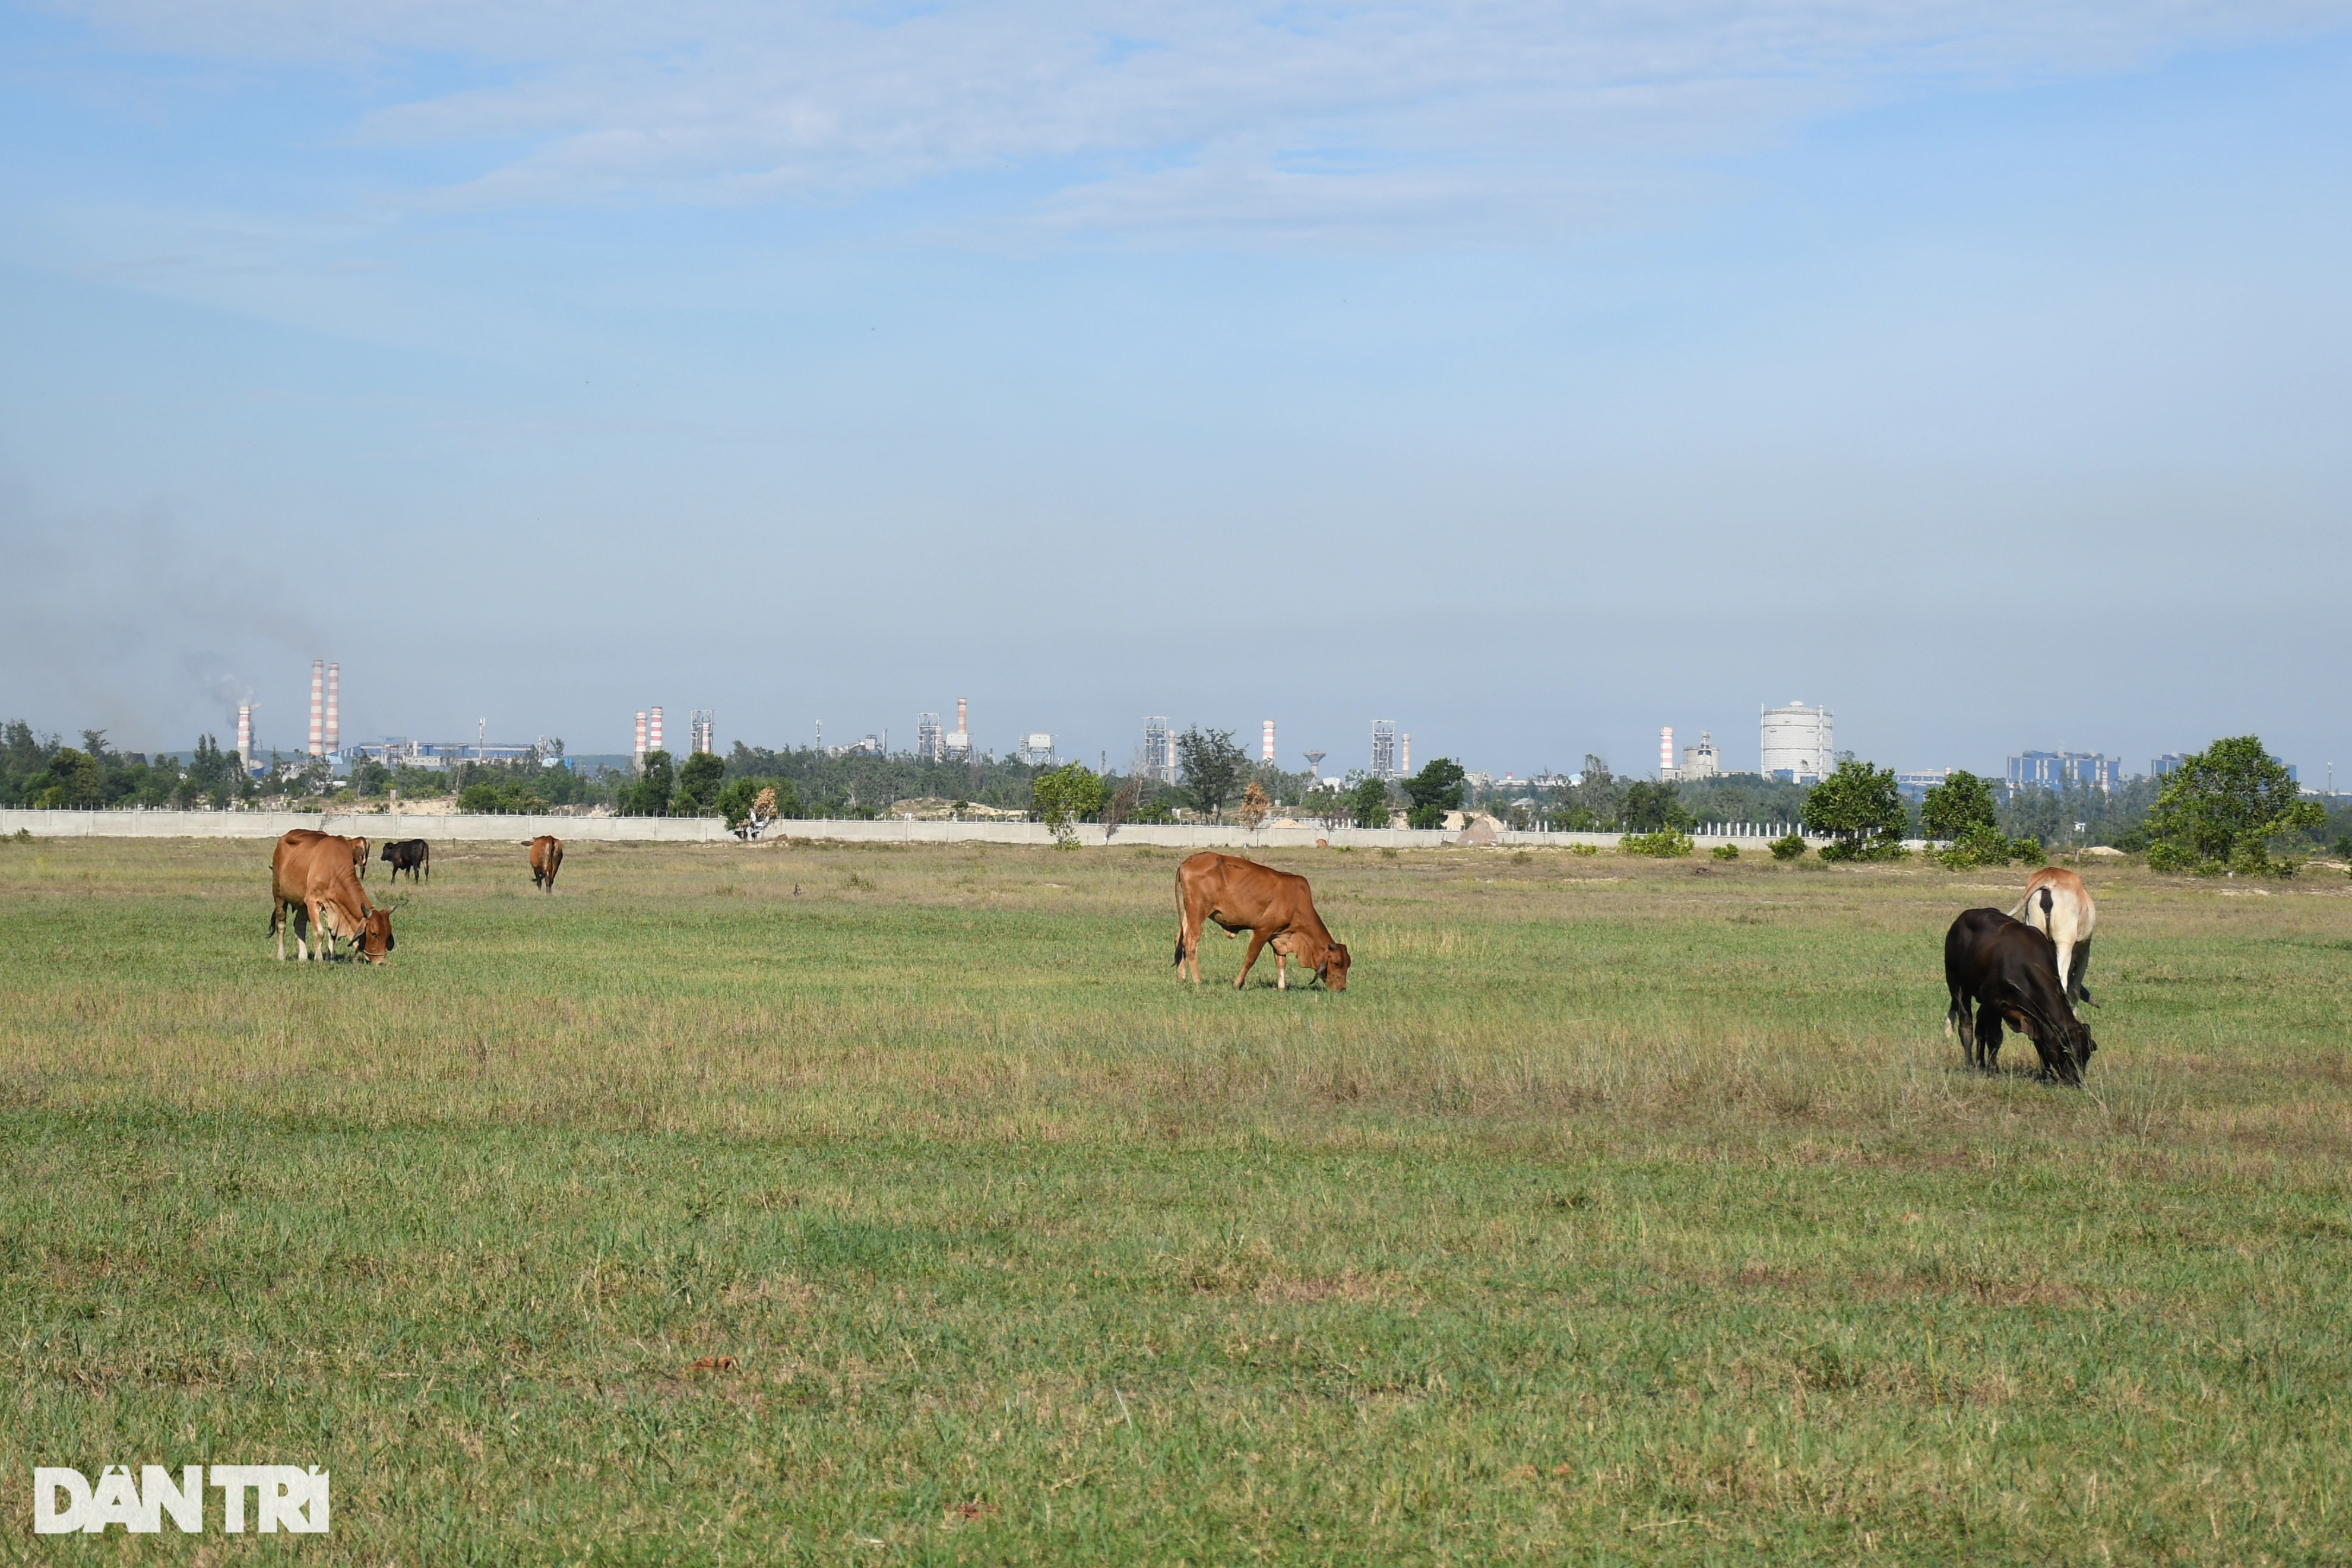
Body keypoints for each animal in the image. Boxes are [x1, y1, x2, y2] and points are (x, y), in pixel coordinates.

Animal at [271, 827, 397, 964]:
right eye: (374, 933)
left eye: (388, 933)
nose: (381, 961)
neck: (333, 868)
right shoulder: (312, 901)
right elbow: (320, 932)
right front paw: (319, 959)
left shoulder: (333, 907)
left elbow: (332, 933)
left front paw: (330, 957)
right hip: (278, 894)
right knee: (281, 924)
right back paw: (281, 956)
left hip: (302, 904)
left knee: (299, 925)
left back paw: (303, 957)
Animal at [1171, 851, 1354, 987]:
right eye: (1337, 963)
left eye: (1348, 964)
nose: (1341, 989)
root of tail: (1187, 861)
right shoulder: (1263, 930)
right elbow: (1251, 958)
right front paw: (1237, 984)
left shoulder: (1278, 935)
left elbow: (1281, 962)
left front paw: (1282, 987)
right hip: (1198, 911)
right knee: (1190, 942)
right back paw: (1197, 980)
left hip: (1189, 912)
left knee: (1180, 939)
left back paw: (1181, 977)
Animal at [1938, 912, 2107, 1086]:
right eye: (2068, 1052)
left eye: (2087, 1055)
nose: (2077, 1081)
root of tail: (1962, 918)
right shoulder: (1994, 1001)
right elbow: (1995, 1038)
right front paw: (1993, 1070)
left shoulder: (2035, 1015)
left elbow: (2040, 1042)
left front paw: (2048, 1075)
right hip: (1957, 986)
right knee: (1966, 1027)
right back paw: (1971, 1066)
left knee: (1979, 1029)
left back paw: (1981, 1065)